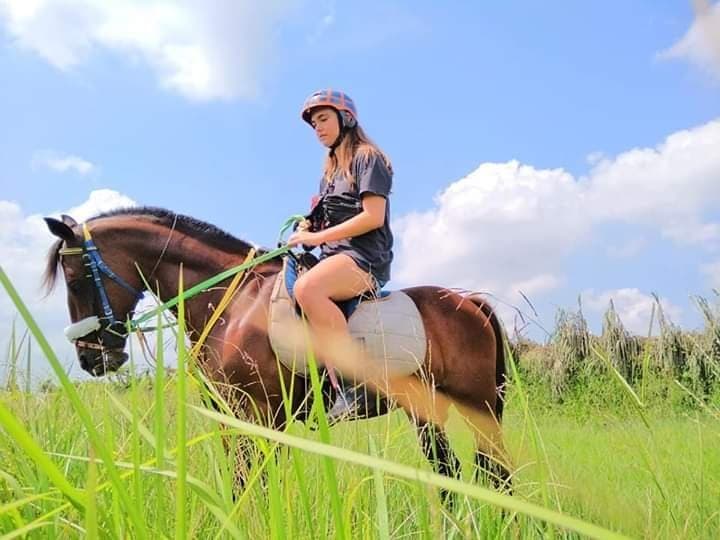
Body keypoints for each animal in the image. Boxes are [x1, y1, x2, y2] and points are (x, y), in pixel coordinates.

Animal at [42, 206, 512, 497]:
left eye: (75, 278)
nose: (91, 358)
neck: (232, 302)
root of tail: (471, 303)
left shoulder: (259, 413)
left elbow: (252, 484)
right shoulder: (236, 416)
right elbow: (245, 484)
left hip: (479, 408)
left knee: (499, 473)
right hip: (427, 411)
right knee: (451, 475)